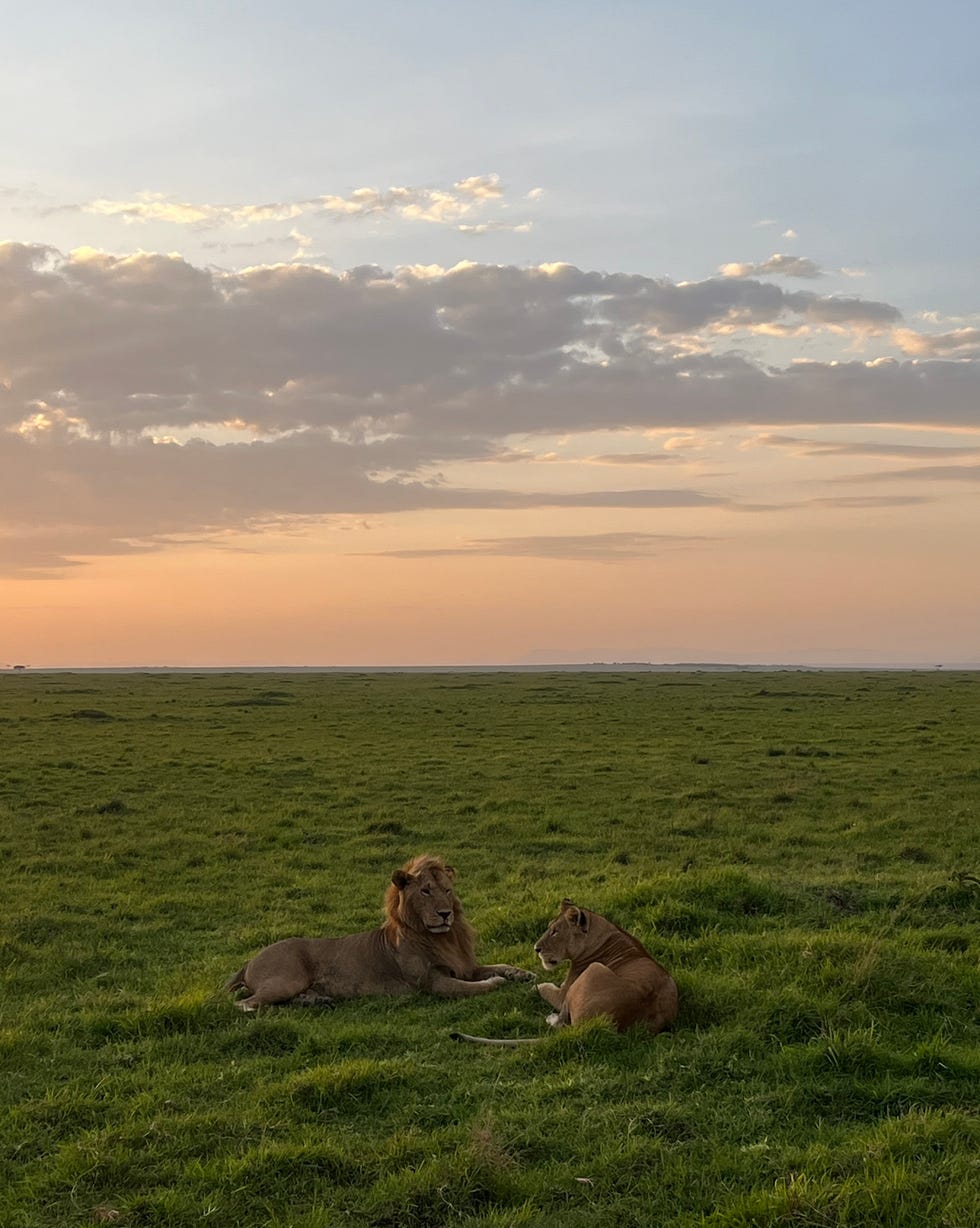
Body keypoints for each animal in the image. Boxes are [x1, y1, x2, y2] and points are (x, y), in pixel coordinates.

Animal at [226, 854, 534, 1011]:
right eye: (426, 891)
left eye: (447, 890)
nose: (445, 914)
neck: (445, 936)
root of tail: (249, 960)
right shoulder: (431, 983)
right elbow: (473, 987)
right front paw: (496, 982)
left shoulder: (466, 966)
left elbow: (499, 964)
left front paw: (523, 973)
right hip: (285, 979)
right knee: (244, 1003)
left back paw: (316, 999)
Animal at [452, 898, 678, 1045]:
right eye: (549, 928)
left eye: (555, 931)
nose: (536, 948)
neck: (605, 935)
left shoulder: (562, 993)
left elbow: (543, 986)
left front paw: (531, 985)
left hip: (593, 970)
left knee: (561, 1022)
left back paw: (550, 1017)